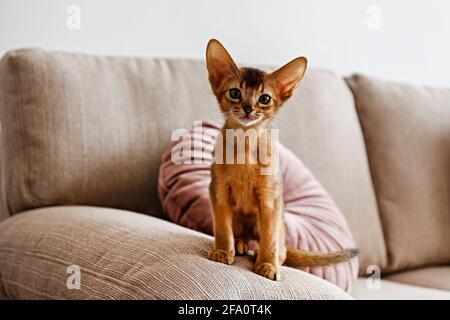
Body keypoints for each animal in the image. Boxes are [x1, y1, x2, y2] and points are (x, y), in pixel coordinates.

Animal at [206, 39, 356, 280]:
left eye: (264, 98)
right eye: (235, 93)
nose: (248, 108)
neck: (246, 144)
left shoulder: (270, 198)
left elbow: (269, 237)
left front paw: (268, 264)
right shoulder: (218, 191)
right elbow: (222, 228)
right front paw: (221, 251)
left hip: (276, 220)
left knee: (279, 244)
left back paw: (270, 256)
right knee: (241, 235)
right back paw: (239, 245)